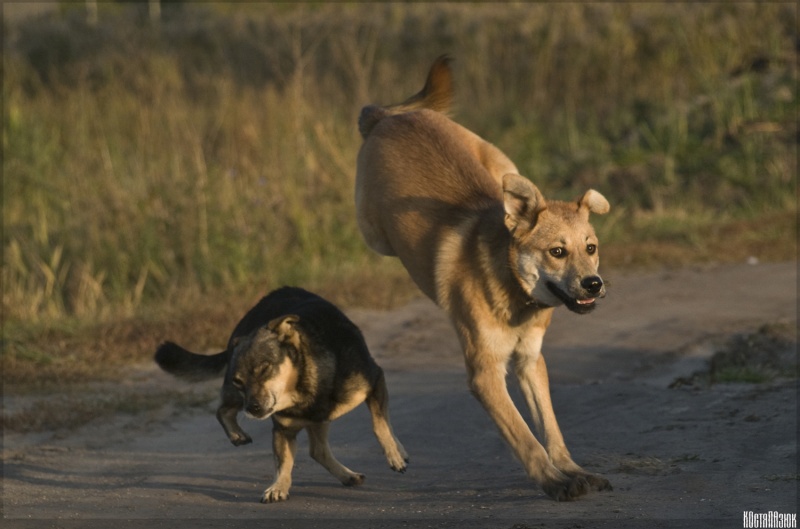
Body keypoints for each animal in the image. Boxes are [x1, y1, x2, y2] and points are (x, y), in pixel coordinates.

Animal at [154, 286, 410, 502]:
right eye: (239, 381)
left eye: (265, 368)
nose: (253, 409)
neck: (305, 385)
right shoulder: (283, 429)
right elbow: (283, 462)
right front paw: (278, 486)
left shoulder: (375, 381)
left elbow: (380, 425)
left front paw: (394, 455)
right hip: (246, 399)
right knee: (223, 410)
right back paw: (237, 435)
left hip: (321, 416)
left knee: (327, 445)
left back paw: (382, 458)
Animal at [356, 57, 612, 500]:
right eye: (557, 252)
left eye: (591, 248)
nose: (593, 284)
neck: (515, 293)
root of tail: (390, 117)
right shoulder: (485, 373)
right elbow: (525, 437)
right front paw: (553, 481)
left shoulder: (530, 361)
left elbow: (550, 429)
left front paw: (572, 470)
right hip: (373, 229)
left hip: (503, 166)